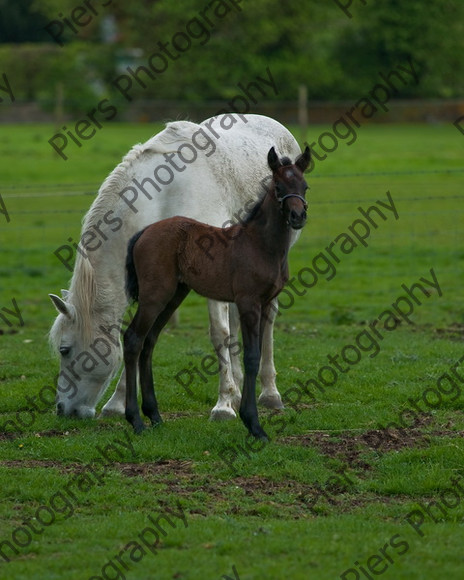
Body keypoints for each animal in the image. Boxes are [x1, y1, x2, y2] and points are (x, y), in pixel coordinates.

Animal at [48, 113, 300, 422]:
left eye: (65, 350)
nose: (62, 409)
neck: (164, 195)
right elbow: (138, 337)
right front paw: (118, 403)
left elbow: (219, 335)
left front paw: (223, 405)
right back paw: (241, 389)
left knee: (267, 319)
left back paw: (269, 393)